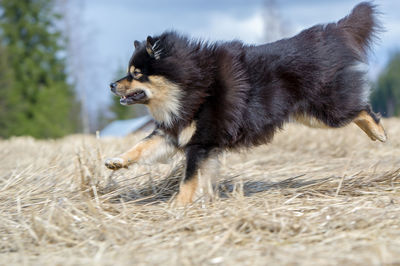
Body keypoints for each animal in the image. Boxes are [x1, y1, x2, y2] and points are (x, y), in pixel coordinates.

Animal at [104, 2, 386, 205]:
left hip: (326, 112)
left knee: (362, 109)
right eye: (128, 73)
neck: (192, 83)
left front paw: (178, 205)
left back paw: (379, 132)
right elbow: (141, 147)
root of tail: (332, 31)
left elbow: (189, 178)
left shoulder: (200, 142)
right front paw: (117, 161)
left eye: (136, 74)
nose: (111, 85)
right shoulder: (173, 133)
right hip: (311, 115)